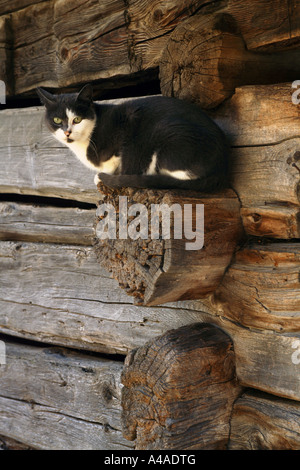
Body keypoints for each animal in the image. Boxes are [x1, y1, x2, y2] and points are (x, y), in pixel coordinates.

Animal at [36, 83, 229, 190]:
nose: (67, 132)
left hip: (166, 132)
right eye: (57, 120)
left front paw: (106, 176)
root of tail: (223, 164)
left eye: (77, 119)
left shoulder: (128, 122)